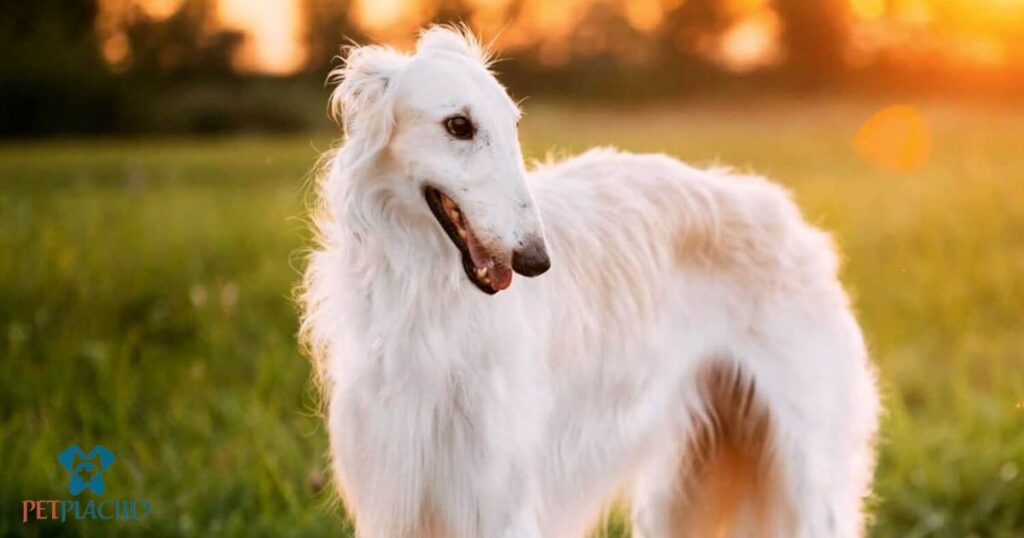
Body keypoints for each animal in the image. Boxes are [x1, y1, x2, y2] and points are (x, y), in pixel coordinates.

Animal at [299, 27, 880, 536]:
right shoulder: (399, 496)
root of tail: (793, 221)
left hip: (807, 470)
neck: (427, 298)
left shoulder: (498, 499)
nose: (536, 260)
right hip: (685, 485)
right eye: (458, 125)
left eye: (513, 125)